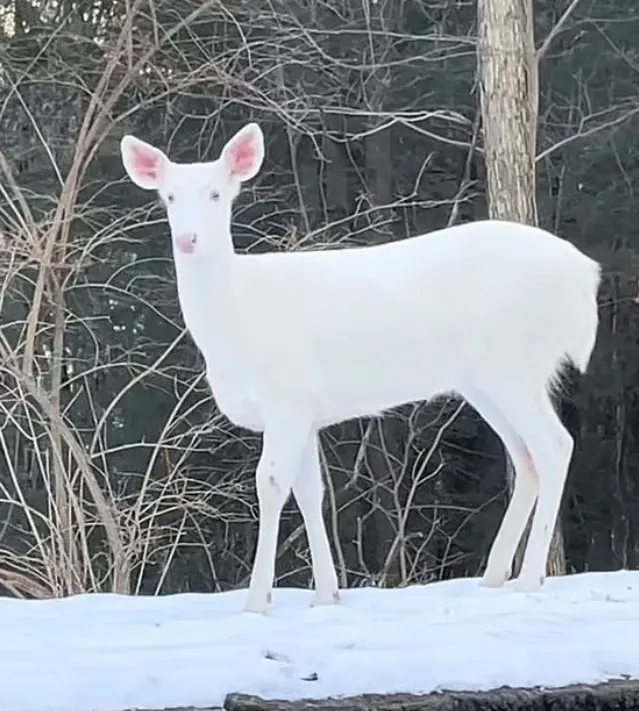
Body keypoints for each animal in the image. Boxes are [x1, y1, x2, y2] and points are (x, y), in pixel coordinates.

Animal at [119, 119, 600, 616]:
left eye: (216, 193)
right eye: (169, 197)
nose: (188, 239)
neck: (236, 322)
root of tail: (584, 275)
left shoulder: (286, 398)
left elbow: (269, 484)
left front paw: (256, 602)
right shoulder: (307, 411)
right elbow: (310, 491)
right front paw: (327, 594)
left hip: (513, 363)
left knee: (554, 445)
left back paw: (529, 578)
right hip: (487, 379)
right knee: (525, 456)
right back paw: (492, 577)